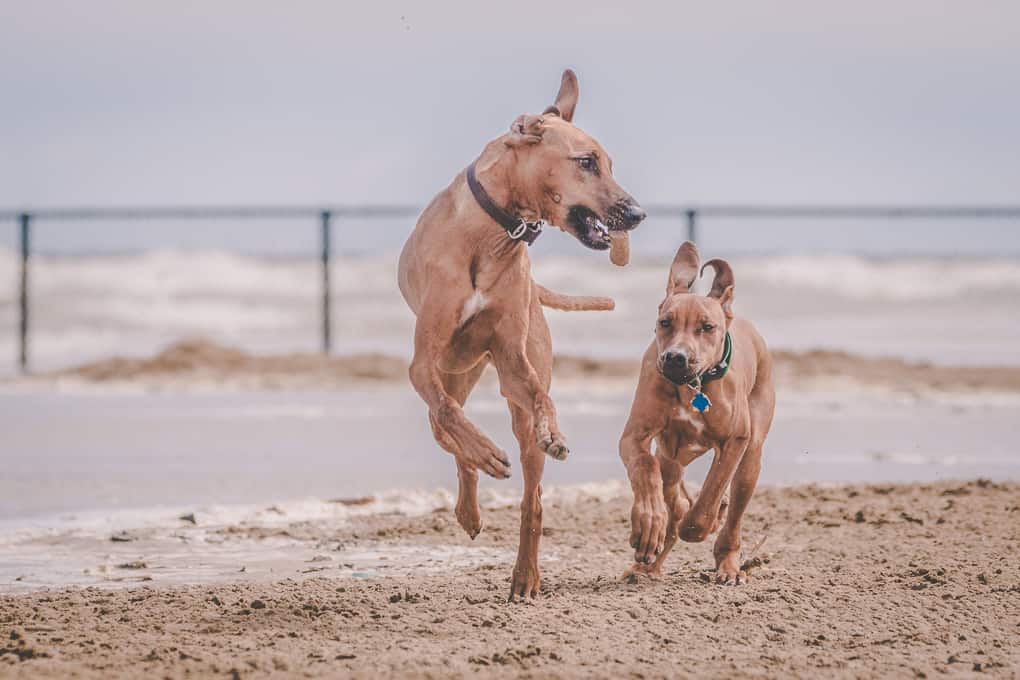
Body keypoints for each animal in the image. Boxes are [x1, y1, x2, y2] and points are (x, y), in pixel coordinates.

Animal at [397, 70, 644, 599]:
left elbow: (539, 396)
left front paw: (553, 431)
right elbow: (448, 414)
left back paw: (525, 575)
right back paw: (472, 496)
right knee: (444, 427)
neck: (496, 232)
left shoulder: (514, 361)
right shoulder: (423, 364)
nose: (637, 214)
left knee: (533, 496)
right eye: (587, 162)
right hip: (454, 373)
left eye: (609, 164)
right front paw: (485, 452)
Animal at [616, 241, 775, 583]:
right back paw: (648, 561)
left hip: (751, 459)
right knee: (671, 487)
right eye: (666, 322)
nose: (676, 357)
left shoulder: (735, 441)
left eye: (707, 327)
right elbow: (645, 470)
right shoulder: (635, 437)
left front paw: (699, 525)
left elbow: (713, 489)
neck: (694, 386)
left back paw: (728, 562)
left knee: (732, 510)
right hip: (673, 454)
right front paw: (648, 523)